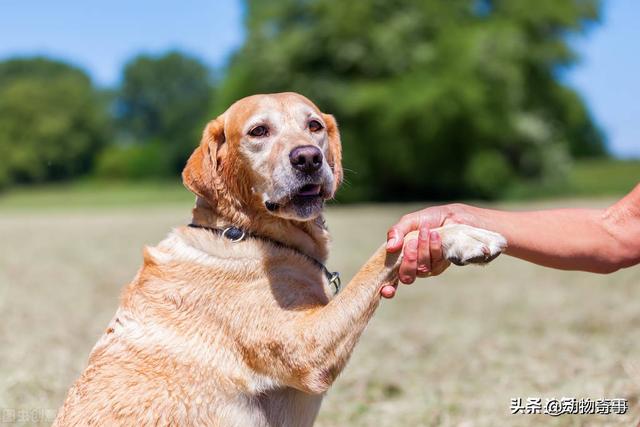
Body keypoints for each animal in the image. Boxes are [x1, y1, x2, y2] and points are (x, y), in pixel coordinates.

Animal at [53, 92, 504, 426]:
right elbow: (380, 257)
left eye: (314, 126)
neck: (246, 233)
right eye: (258, 131)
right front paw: (463, 235)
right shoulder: (309, 350)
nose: (307, 158)